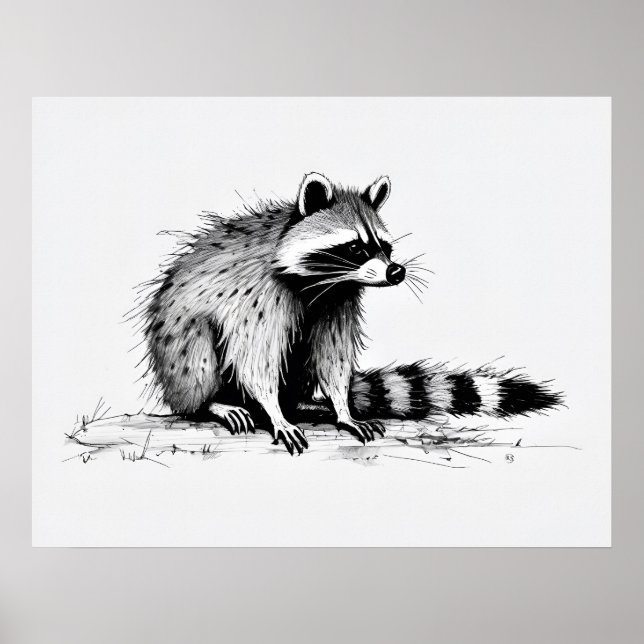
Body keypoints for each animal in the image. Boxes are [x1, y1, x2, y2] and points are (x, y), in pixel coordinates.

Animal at [140, 172, 562, 454]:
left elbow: (332, 354)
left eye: (386, 248)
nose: (397, 271)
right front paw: (272, 409)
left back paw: (304, 401)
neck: (321, 281)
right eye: (356, 248)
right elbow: (255, 358)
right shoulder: (256, 295)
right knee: (196, 353)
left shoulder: (337, 301)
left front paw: (341, 405)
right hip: (178, 345)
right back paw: (212, 402)